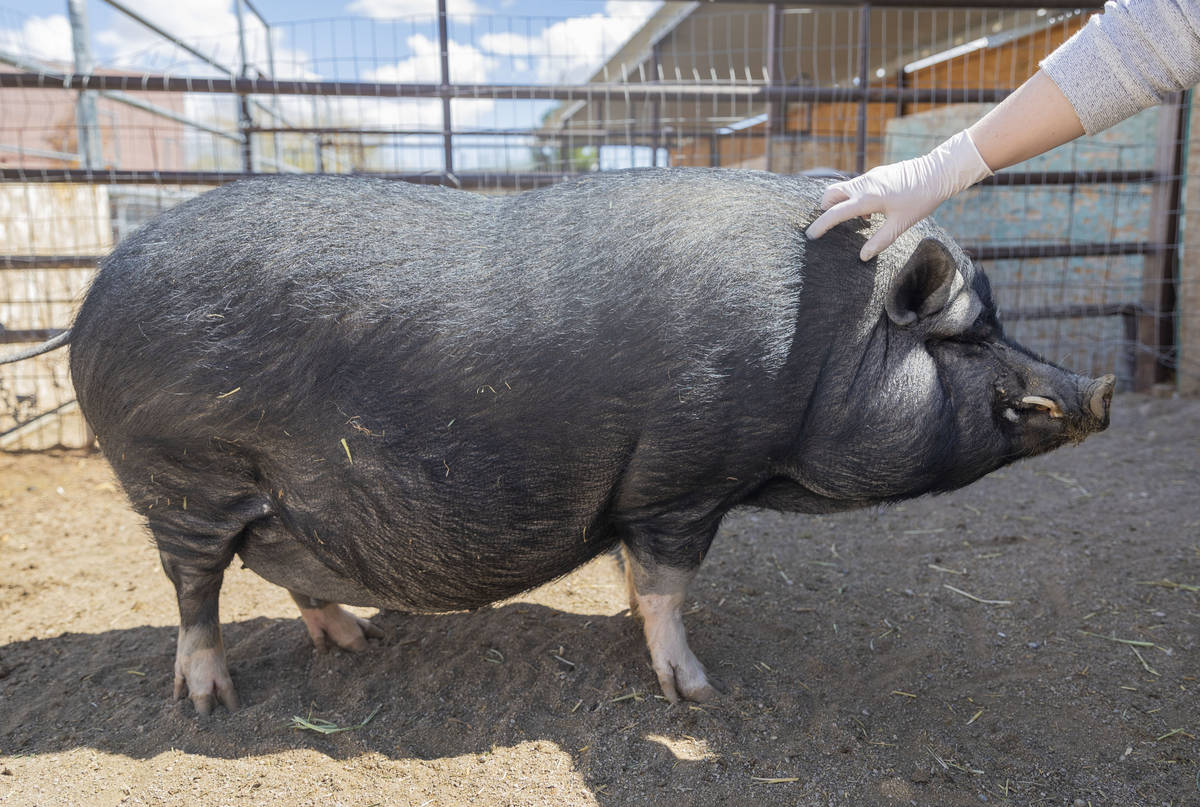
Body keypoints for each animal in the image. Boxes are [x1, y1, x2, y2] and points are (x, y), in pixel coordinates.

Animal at [65, 168, 1113, 710]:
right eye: (967, 337)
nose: (1099, 388)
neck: (823, 341)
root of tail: (90, 294)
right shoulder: (688, 477)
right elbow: (670, 585)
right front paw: (697, 693)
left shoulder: (653, 491)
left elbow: (636, 574)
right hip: (181, 477)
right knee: (195, 593)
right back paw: (212, 702)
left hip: (272, 496)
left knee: (289, 570)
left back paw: (360, 639)